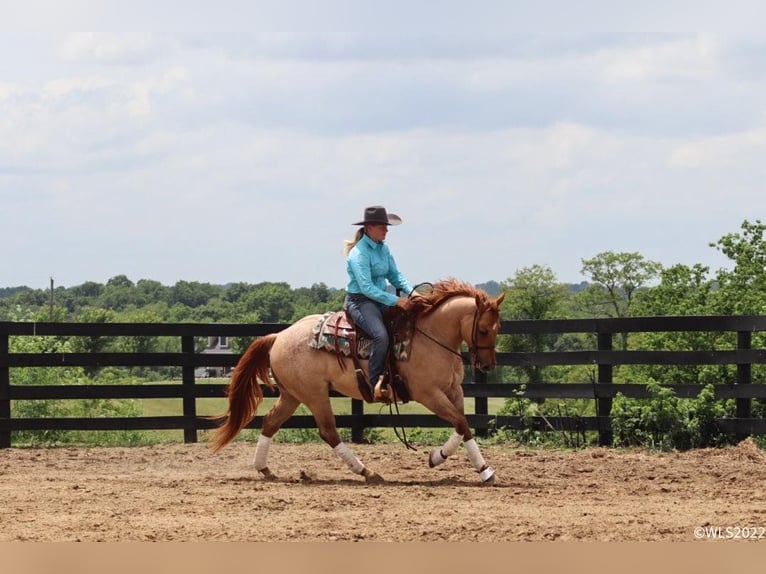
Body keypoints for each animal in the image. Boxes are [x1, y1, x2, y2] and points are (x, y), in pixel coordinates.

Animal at [213, 280, 508, 486]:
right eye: (483, 329)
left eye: (498, 328)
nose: (487, 365)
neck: (431, 336)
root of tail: (279, 336)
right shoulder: (429, 394)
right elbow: (460, 422)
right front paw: (452, 462)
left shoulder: (453, 391)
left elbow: (463, 425)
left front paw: (471, 467)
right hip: (314, 395)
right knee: (329, 432)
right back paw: (367, 471)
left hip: (292, 395)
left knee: (270, 422)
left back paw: (264, 469)